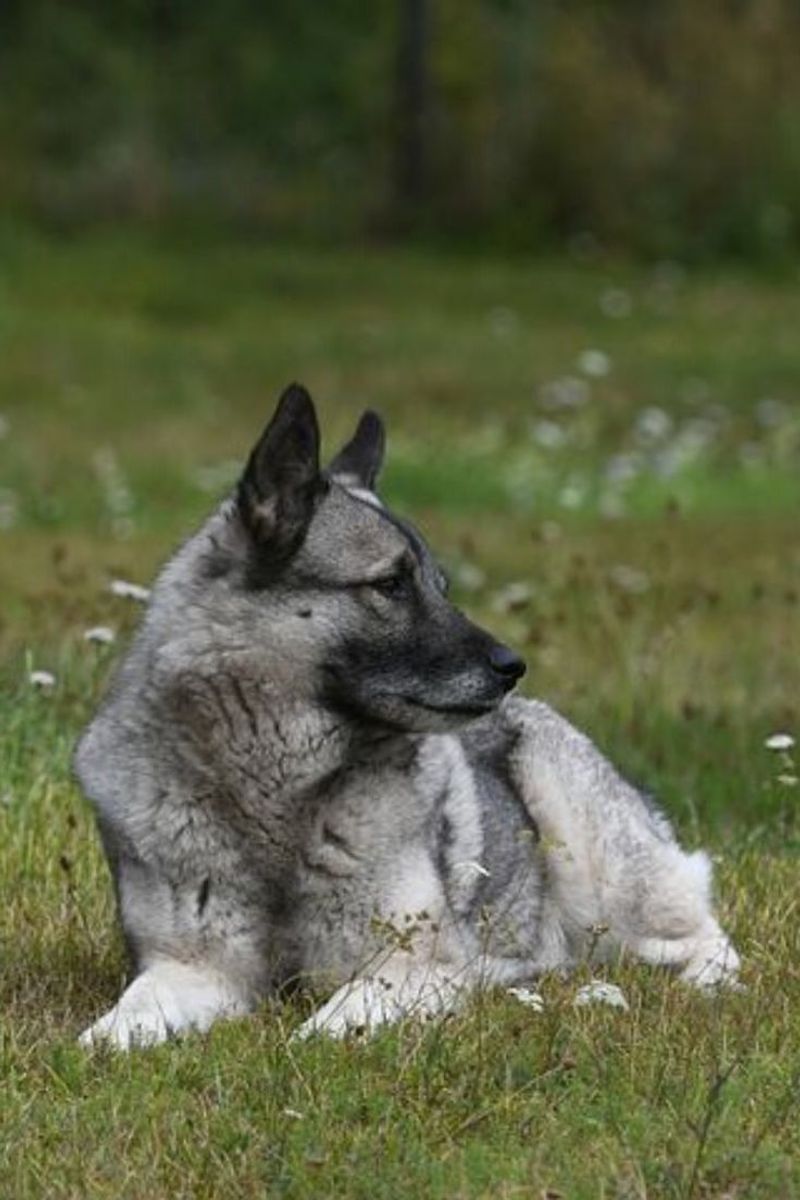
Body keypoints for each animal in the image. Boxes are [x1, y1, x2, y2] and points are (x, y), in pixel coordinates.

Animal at [74, 388, 738, 1046]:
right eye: (391, 583)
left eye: (439, 586)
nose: (512, 665)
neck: (277, 795)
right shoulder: (192, 969)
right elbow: (113, 1030)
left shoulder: (412, 966)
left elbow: (325, 1026)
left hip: (594, 857)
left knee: (702, 936)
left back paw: (700, 983)